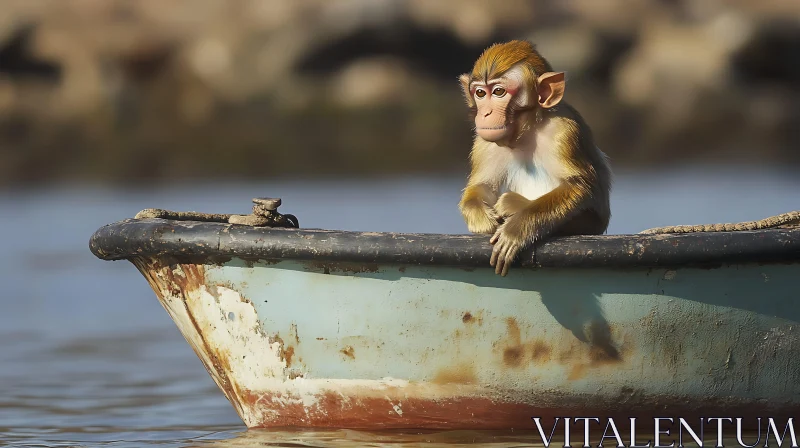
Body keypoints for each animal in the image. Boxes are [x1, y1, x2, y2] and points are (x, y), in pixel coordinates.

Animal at [456, 40, 612, 276]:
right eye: (481, 93)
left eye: (499, 91)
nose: (485, 114)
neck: (527, 131)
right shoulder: (483, 144)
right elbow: (482, 185)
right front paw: (482, 217)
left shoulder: (564, 132)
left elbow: (579, 186)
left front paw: (516, 230)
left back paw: (512, 205)